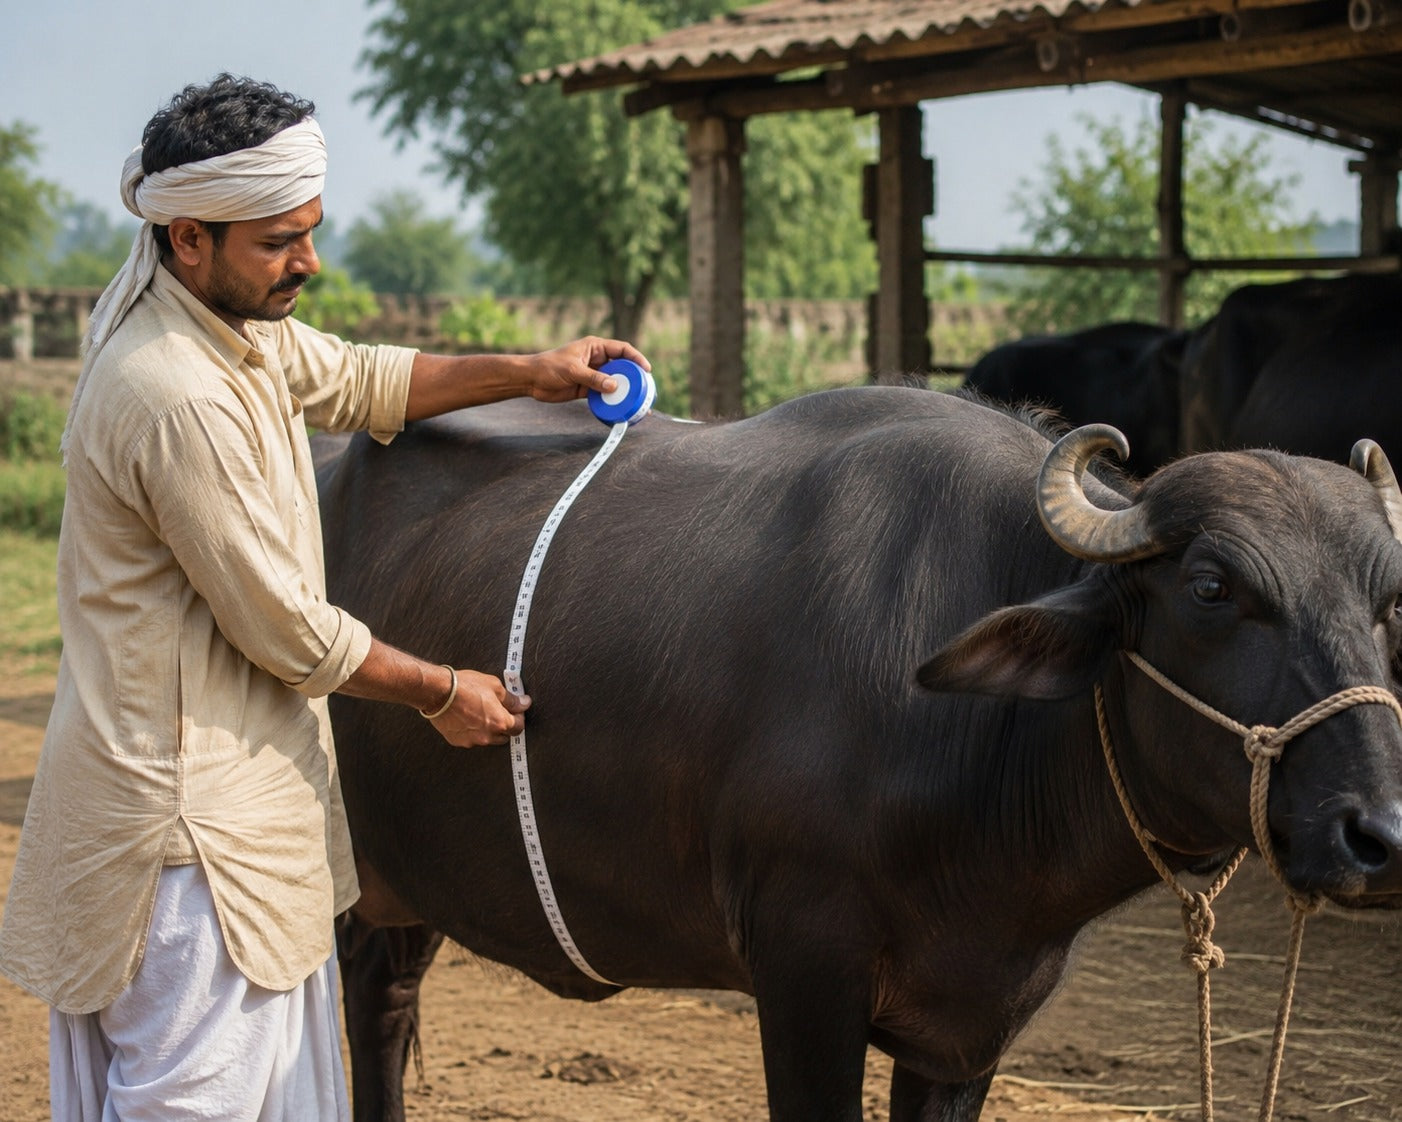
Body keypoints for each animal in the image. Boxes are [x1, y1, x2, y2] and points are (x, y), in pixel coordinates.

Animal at [315, 386, 1402, 1122]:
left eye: (1388, 600)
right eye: (1212, 587)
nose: (1377, 836)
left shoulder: (972, 1024)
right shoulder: (804, 976)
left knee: (384, 998)